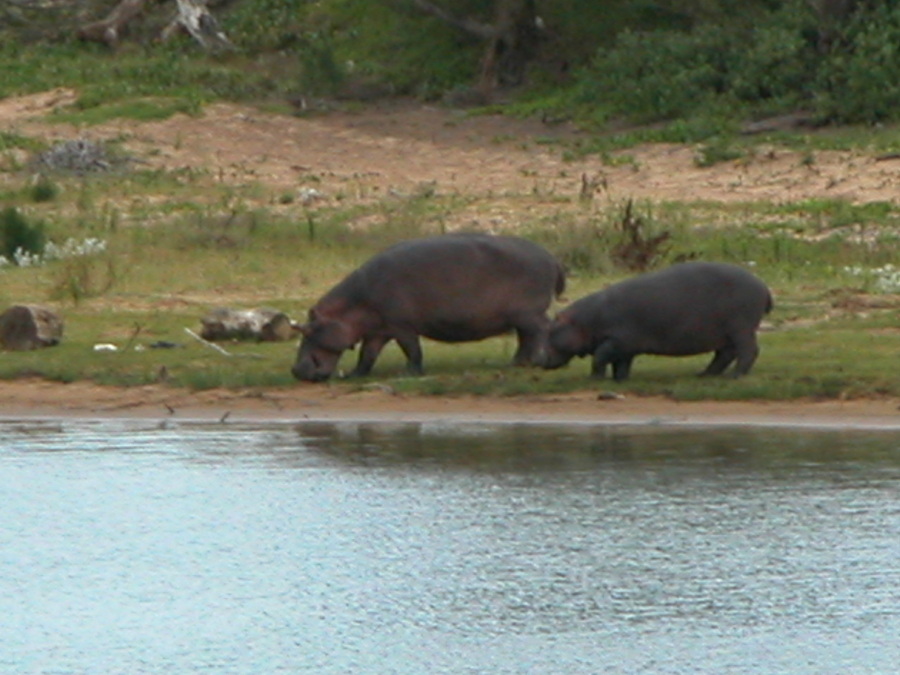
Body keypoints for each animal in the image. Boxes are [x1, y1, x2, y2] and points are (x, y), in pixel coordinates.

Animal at [292, 232, 568, 380]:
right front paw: (354, 375)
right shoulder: (377, 331)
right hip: (519, 316)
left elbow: (412, 350)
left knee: (541, 329)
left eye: (308, 330)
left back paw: (536, 361)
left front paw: (410, 374)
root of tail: (552, 257)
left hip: (528, 313)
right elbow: (367, 355)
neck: (352, 305)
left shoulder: (401, 326)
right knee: (525, 337)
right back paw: (517, 363)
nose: (295, 370)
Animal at [540, 262, 772, 380]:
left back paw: (735, 376)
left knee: (748, 351)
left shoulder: (616, 341)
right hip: (725, 333)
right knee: (725, 354)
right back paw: (704, 375)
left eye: (551, 329)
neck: (585, 322)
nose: (538, 360)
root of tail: (763, 285)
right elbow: (621, 363)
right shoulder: (626, 346)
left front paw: (595, 379)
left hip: (740, 328)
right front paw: (619, 381)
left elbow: (600, 356)